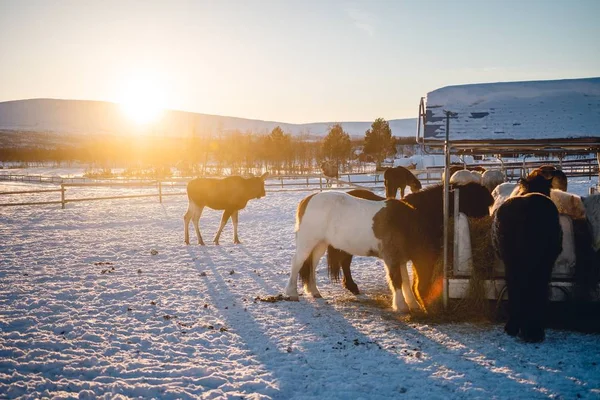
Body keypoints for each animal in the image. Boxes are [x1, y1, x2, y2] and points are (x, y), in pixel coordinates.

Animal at [492, 170, 564, 342]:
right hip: (541, 263)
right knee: (534, 288)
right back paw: (533, 331)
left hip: (513, 262)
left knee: (517, 286)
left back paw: (515, 327)